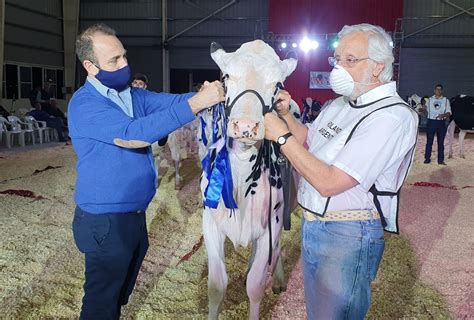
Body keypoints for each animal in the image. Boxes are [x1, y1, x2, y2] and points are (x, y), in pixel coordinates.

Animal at [199, 40, 296, 320]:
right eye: (227, 77)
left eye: (276, 84)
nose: (245, 126)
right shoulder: (210, 224)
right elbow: (216, 286)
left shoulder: (270, 227)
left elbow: (255, 286)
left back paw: (278, 279)